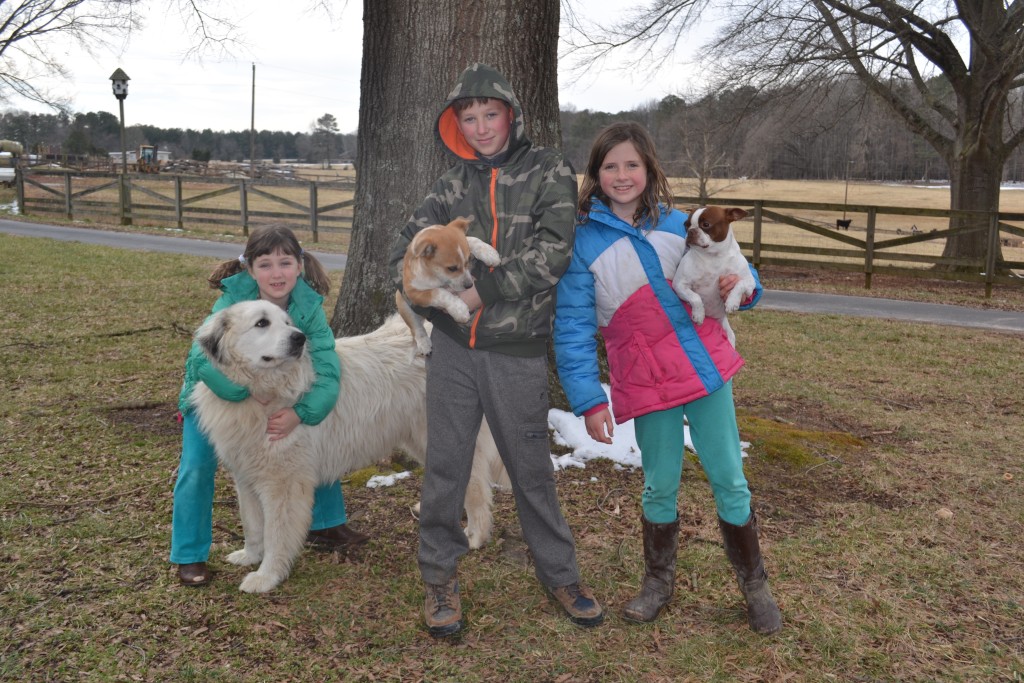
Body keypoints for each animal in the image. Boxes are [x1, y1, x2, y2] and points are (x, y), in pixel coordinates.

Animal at [189, 301, 507, 593]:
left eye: (287, 322)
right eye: (262, 323)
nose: (299, 338)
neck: (260, 391)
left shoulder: (283, 483)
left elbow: (276, 534)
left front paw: (267, 577)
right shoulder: (246, 477)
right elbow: (253, 525)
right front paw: (250, 556)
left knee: (475, 483)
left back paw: (476, 535)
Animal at [395, 218, 499, 358]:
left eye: (468, 261)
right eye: (452, 268)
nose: (469, 285)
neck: (434, 274)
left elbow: (470, 239)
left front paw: (488, 252)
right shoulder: (413, 292)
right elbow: (438, 292)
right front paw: (459, 309)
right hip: (402, 302)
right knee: (415, 328)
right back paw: (424, 344)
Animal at [671, 206, 753, 348]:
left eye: (706, 224)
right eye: (686, 225)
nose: (691, 231)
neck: (713, 256)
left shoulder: (750, 282)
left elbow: (739, 284)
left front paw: (732, 302)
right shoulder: (679, 284)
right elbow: (695, 297)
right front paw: (698, 314)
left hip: (729, 334)